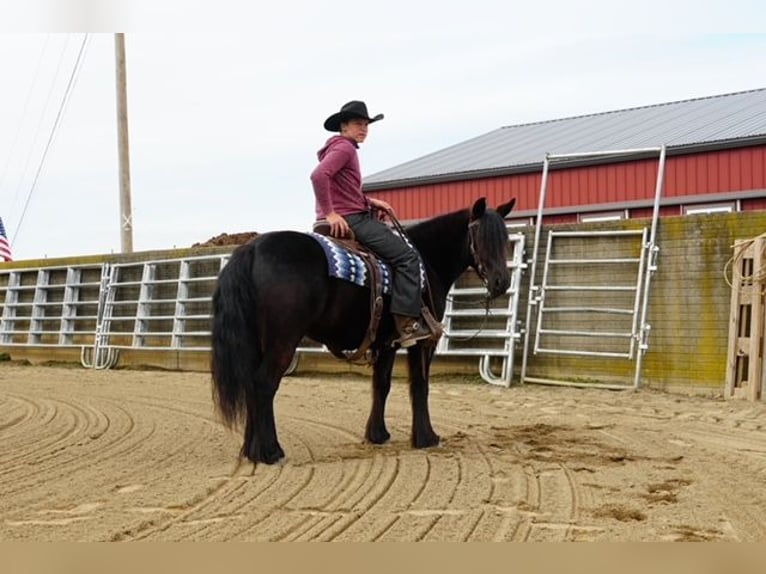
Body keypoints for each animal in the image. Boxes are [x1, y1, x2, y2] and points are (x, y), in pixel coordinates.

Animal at [211, 197, 516, 464]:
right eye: (481, 237)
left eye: (505, 240)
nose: (501, 282)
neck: (426, 262)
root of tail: (251, 249)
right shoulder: (423, 342)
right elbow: (420, 386)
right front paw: (426, 437)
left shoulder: (387, 342)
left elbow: (381, 385)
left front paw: (377, 434)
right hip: (283, 341)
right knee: (263, 384)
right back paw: (270, 451)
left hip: (256, 342)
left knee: (251, 384)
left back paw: (251, 450)